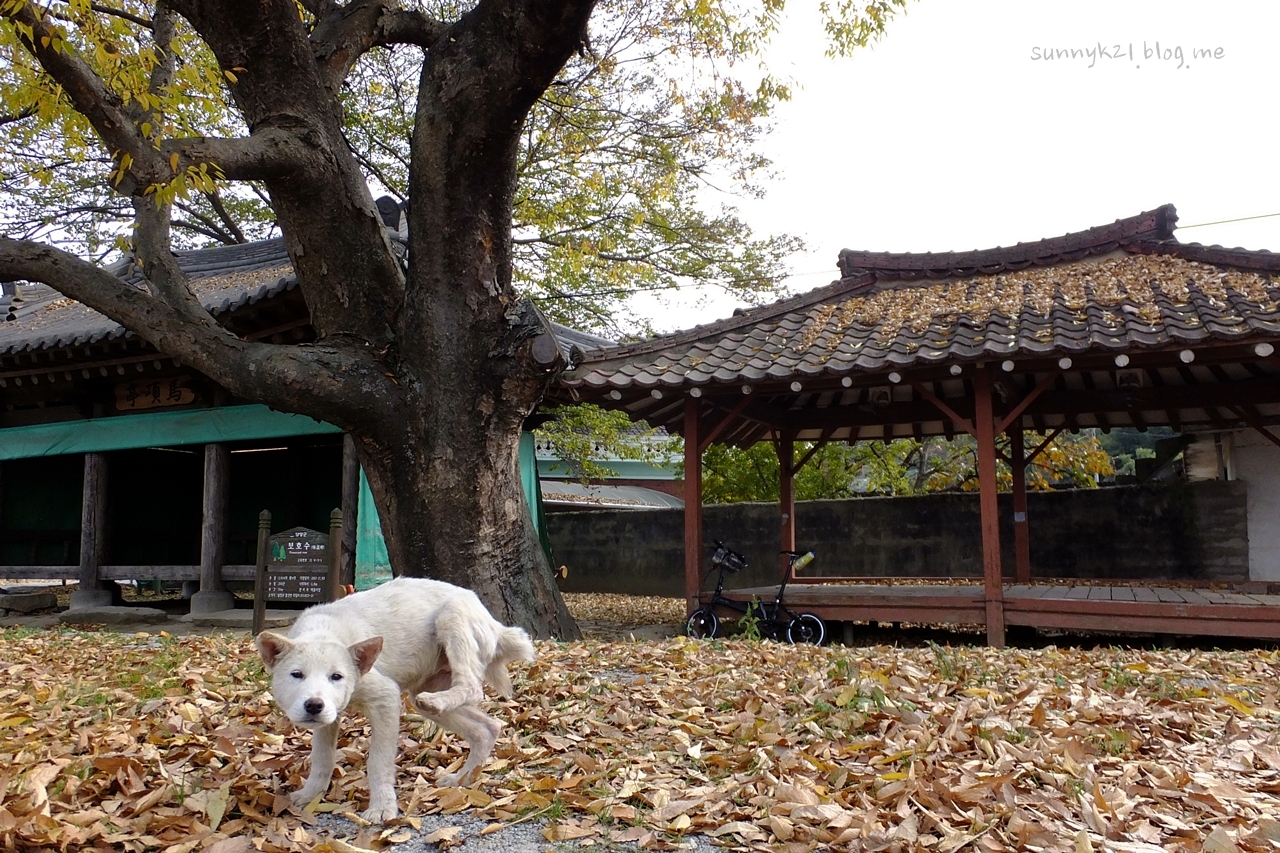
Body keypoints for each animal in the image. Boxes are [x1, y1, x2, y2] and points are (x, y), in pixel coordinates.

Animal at [254, 573, 535, 819]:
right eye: (296, 674)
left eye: (337, 676)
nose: (314, 705)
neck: (324, 631)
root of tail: (494, 624)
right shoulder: (328, 719)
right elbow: (322, 758)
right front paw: (310, 795)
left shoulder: (385, 699)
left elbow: (378, 762)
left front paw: (381, 809)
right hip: (428, 691)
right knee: (487, 728)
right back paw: (462, 779)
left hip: (451, 619)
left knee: (472, 688)